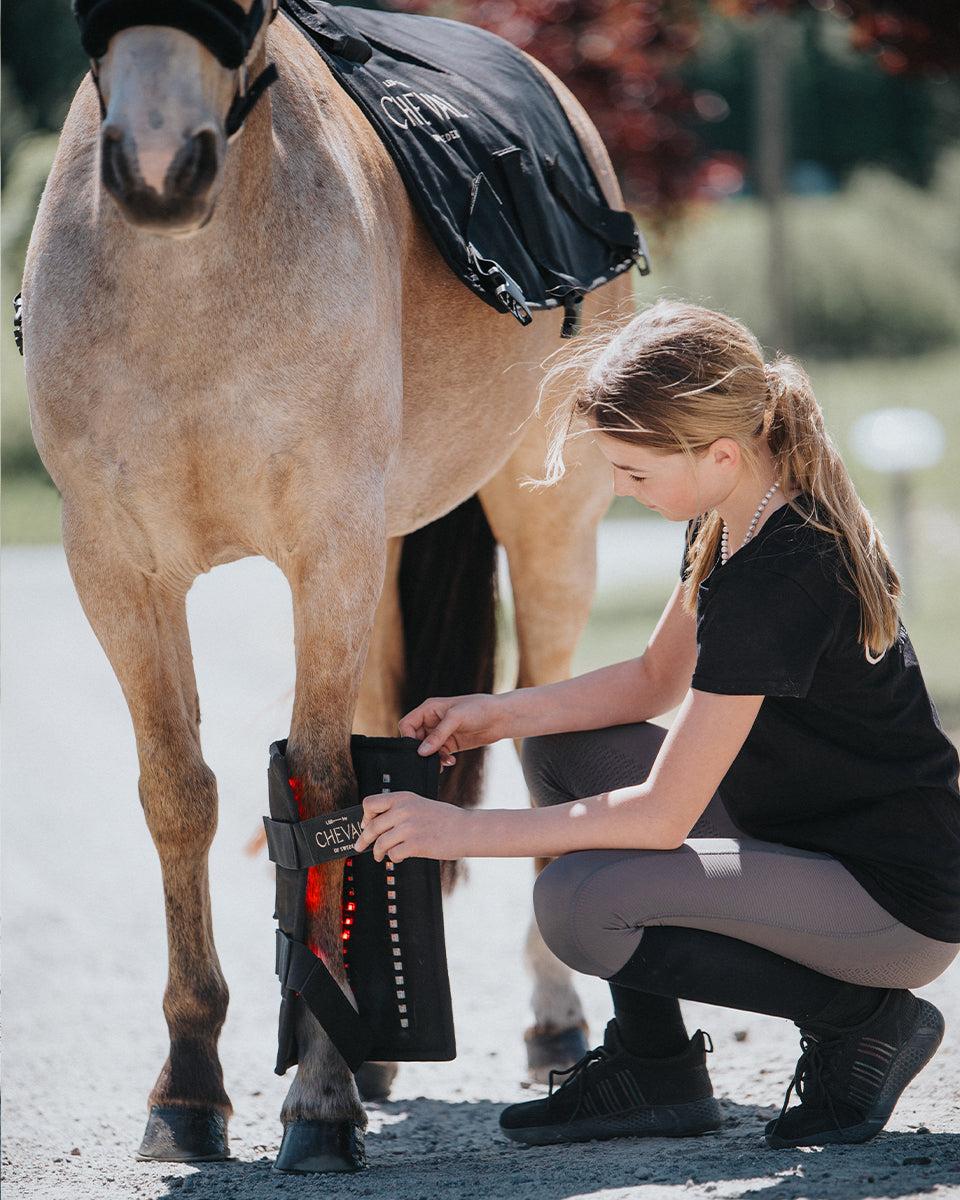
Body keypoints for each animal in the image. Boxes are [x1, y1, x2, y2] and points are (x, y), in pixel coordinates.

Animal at [20, 0, 635, 1173]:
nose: (158, 167)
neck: (190, 280)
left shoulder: (327, 549)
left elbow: (328, 795)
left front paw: (319, 1092)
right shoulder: (117, 570)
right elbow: (180, 795)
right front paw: (193, 1085)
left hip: (549, 531)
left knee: (542, 739)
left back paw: (551, 1016)